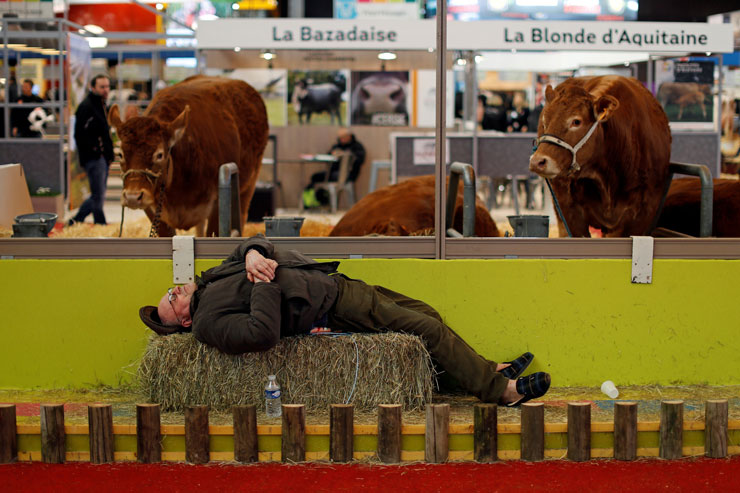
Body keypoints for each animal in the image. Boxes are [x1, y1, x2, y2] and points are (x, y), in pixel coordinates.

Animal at [108, 75, 270, 236]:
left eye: (159, 155)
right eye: (120, 154)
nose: (132, 196)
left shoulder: (217, 205)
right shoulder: (152, 210)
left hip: (248, 185)